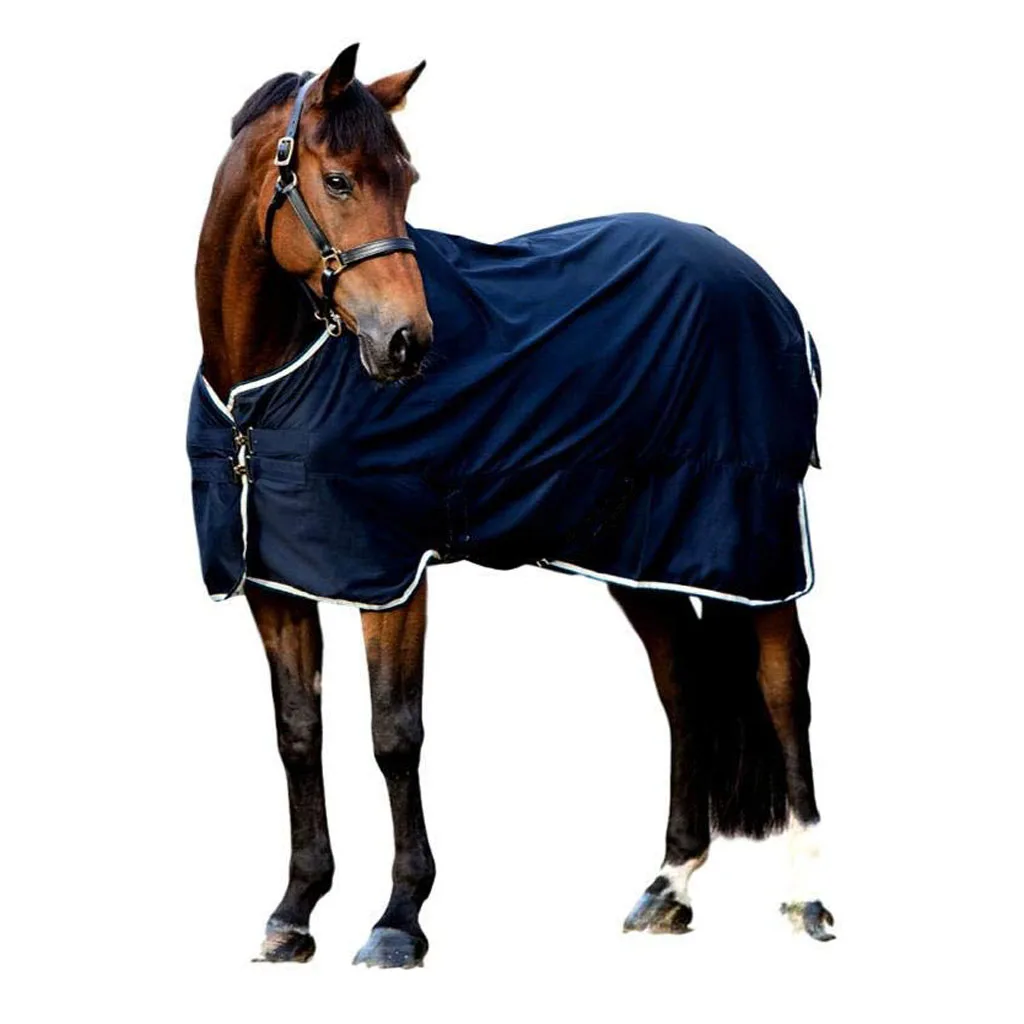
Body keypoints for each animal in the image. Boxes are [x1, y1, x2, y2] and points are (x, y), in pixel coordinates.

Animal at [190, 43, 832, 968]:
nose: (407, 344)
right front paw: (294, 913)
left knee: (785, 688)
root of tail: (759, 282)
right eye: (339, 180)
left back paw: (808, 898)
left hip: (754, 538)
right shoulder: (275, 584)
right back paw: (668, 887)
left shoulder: (393, 577)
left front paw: (399, 921)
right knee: (683, 685)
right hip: (641, 554)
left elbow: (394, 736)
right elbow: (297, 734)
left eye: (409, 179)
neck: (266, 391)